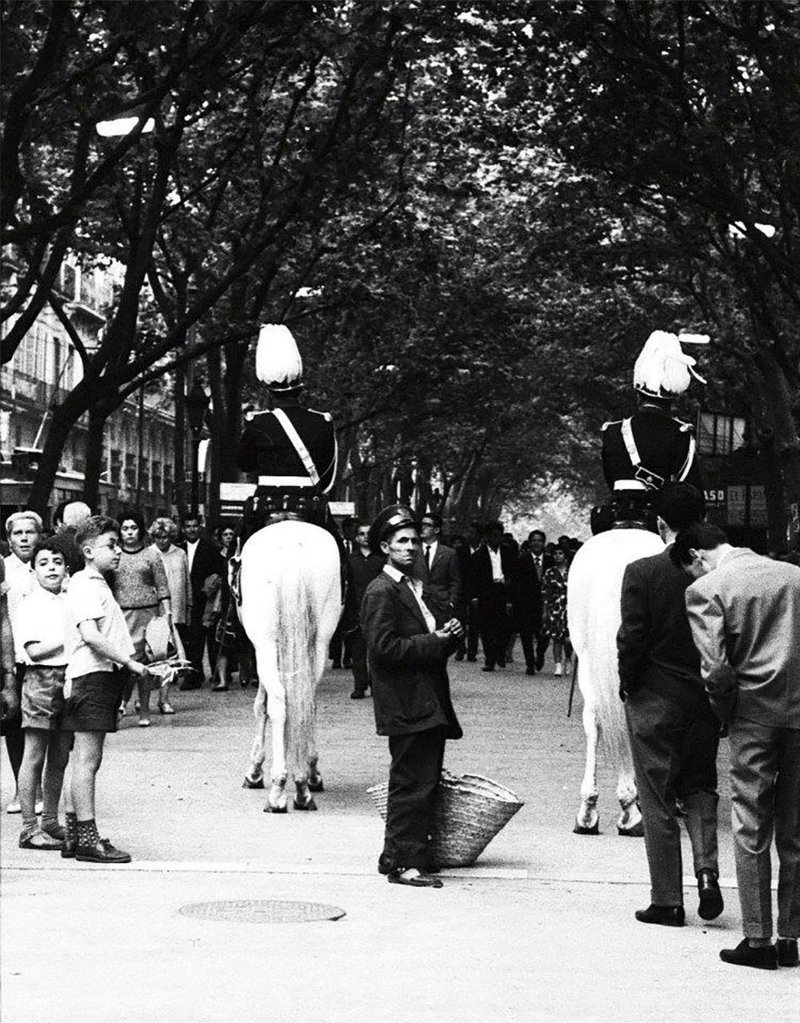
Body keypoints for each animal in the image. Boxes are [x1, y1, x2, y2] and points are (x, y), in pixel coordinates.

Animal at [236, 523, 339, 810]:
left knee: (279, 702)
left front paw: (255, 771)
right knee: (307, 702)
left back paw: (279, 790)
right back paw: (305, 782)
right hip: (320, 640)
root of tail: (293, 544)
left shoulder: (262, 649)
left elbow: (261, 706)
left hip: (265, 642)